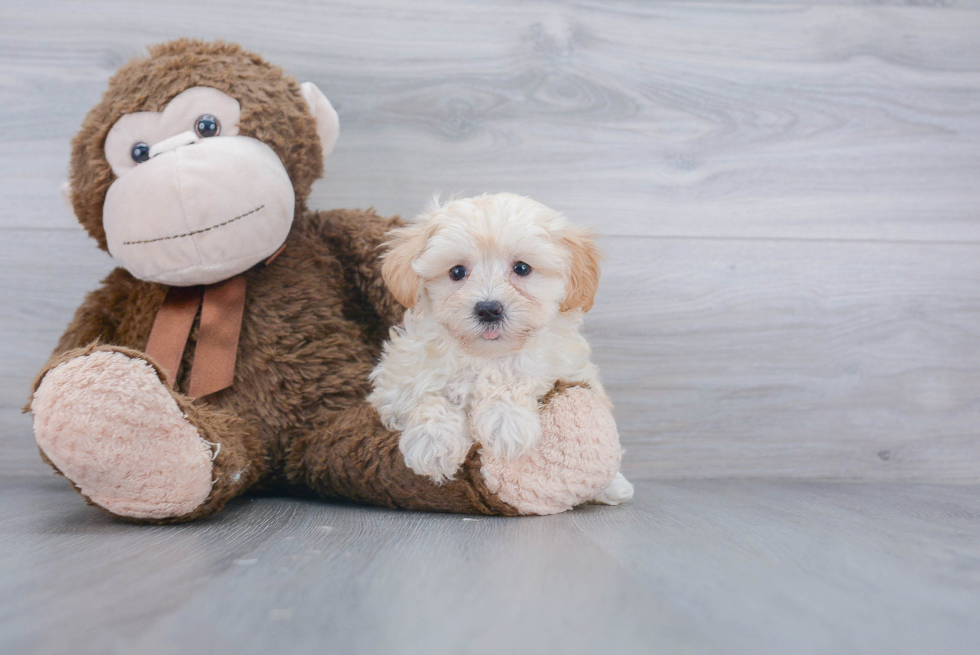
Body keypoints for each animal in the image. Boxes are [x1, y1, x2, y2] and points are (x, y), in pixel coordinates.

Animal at [370, 192, 636, 504]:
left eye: (521, 268)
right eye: (456, 272)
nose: (488, 309)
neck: (486, 356)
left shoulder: (564, 369)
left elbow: (517, 378)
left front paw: (506, 421)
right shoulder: (395, 382)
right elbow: (426, 395)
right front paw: (433, 441)